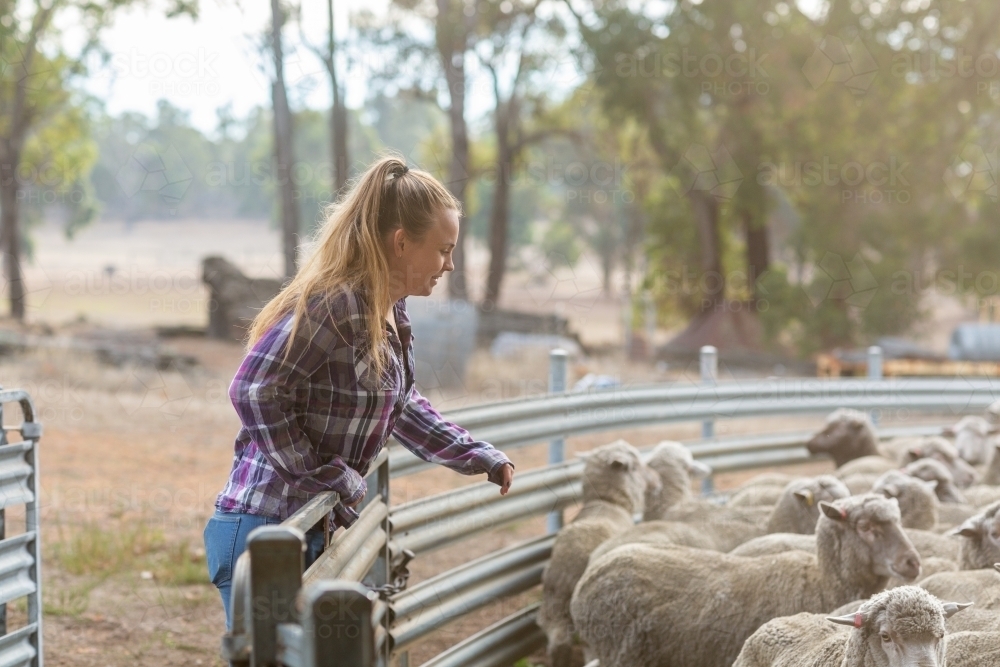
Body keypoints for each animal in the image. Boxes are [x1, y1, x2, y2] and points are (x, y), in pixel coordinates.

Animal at [540, 438, 656, 667]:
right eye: (635, 466)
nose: (655, 477)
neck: (608, 503)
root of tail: (566, 565)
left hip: (553, 607)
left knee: (558, 641)